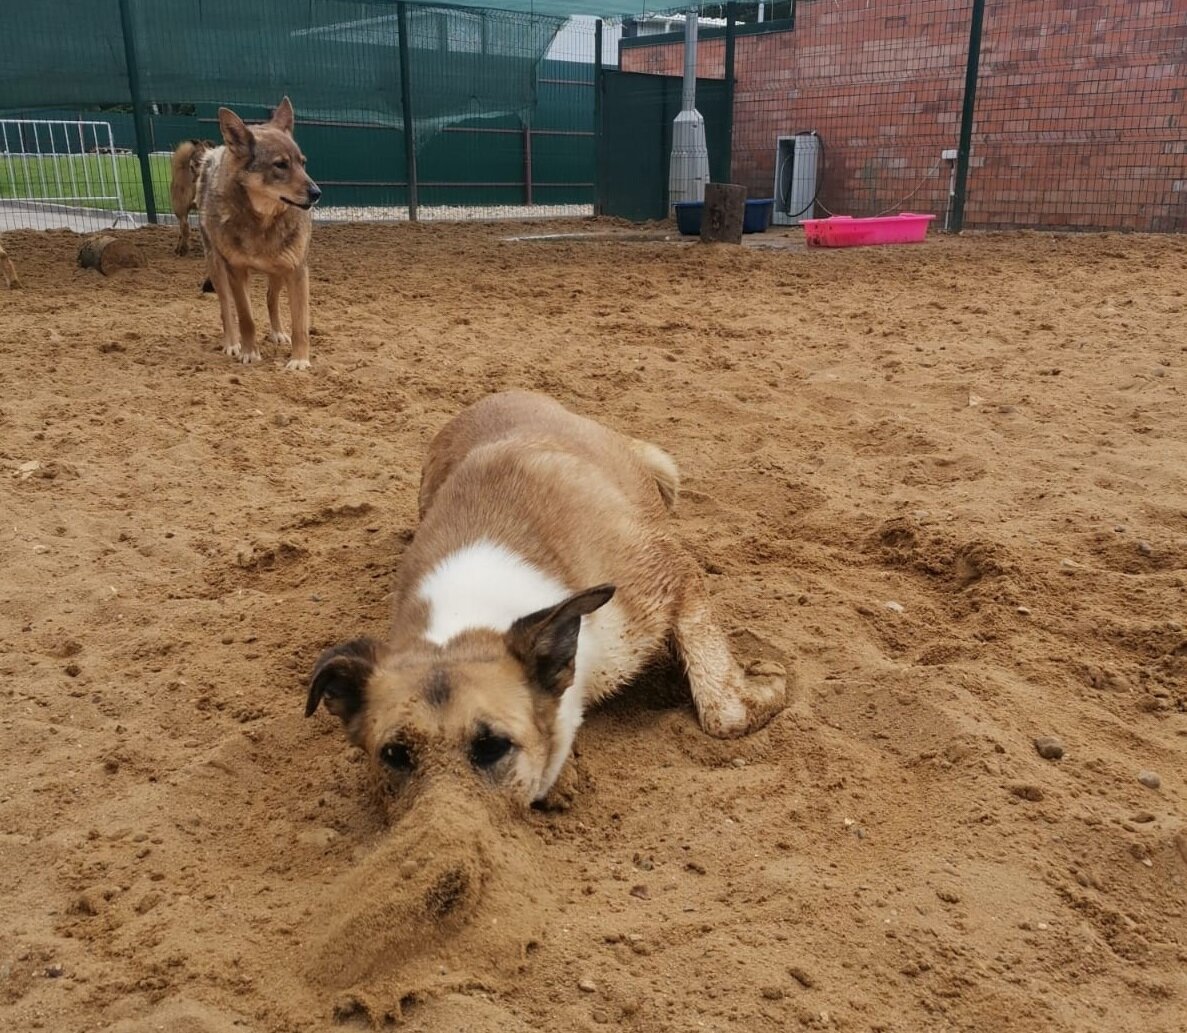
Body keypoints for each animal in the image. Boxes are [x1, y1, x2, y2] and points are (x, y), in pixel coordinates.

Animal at [198, 97, 320, 372]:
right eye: (280, 165)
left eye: (303, 163)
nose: (317, 193)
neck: (263, 222)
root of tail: (217, 150)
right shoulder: (236, 271)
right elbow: (246, 318)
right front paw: (248, 352)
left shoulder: (296, 269)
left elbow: (300, 323)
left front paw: (299, 360)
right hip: (216, 266)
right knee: (225, 308)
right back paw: (232, 343)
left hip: (278, 270)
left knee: (270, 298)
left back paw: (278, 333)